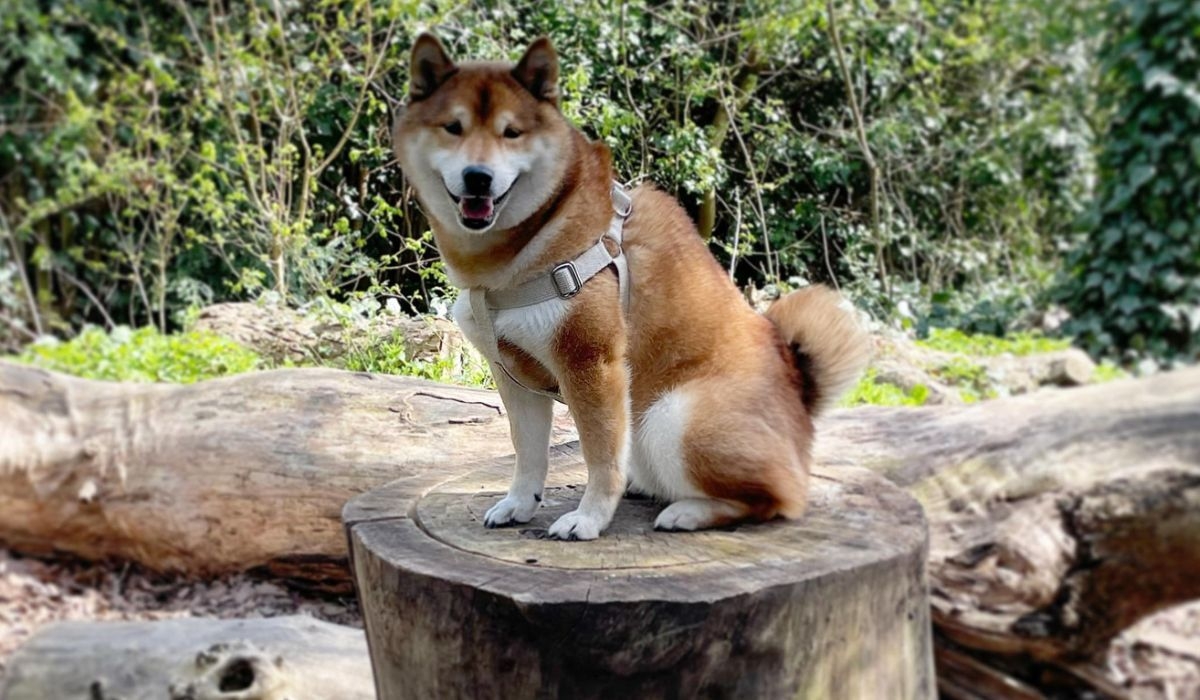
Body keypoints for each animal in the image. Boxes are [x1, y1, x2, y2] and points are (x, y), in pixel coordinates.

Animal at [393, 34, 873, 542]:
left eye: (512, 133)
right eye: (453, 127)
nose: (478, 177)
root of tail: (799, 393)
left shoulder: (591, 363)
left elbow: (601, 458)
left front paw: (588, 518)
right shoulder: (512, 374)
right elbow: (528, 454)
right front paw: (518, 504)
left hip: (668, 418)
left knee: (775, 498)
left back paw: (688, 512)